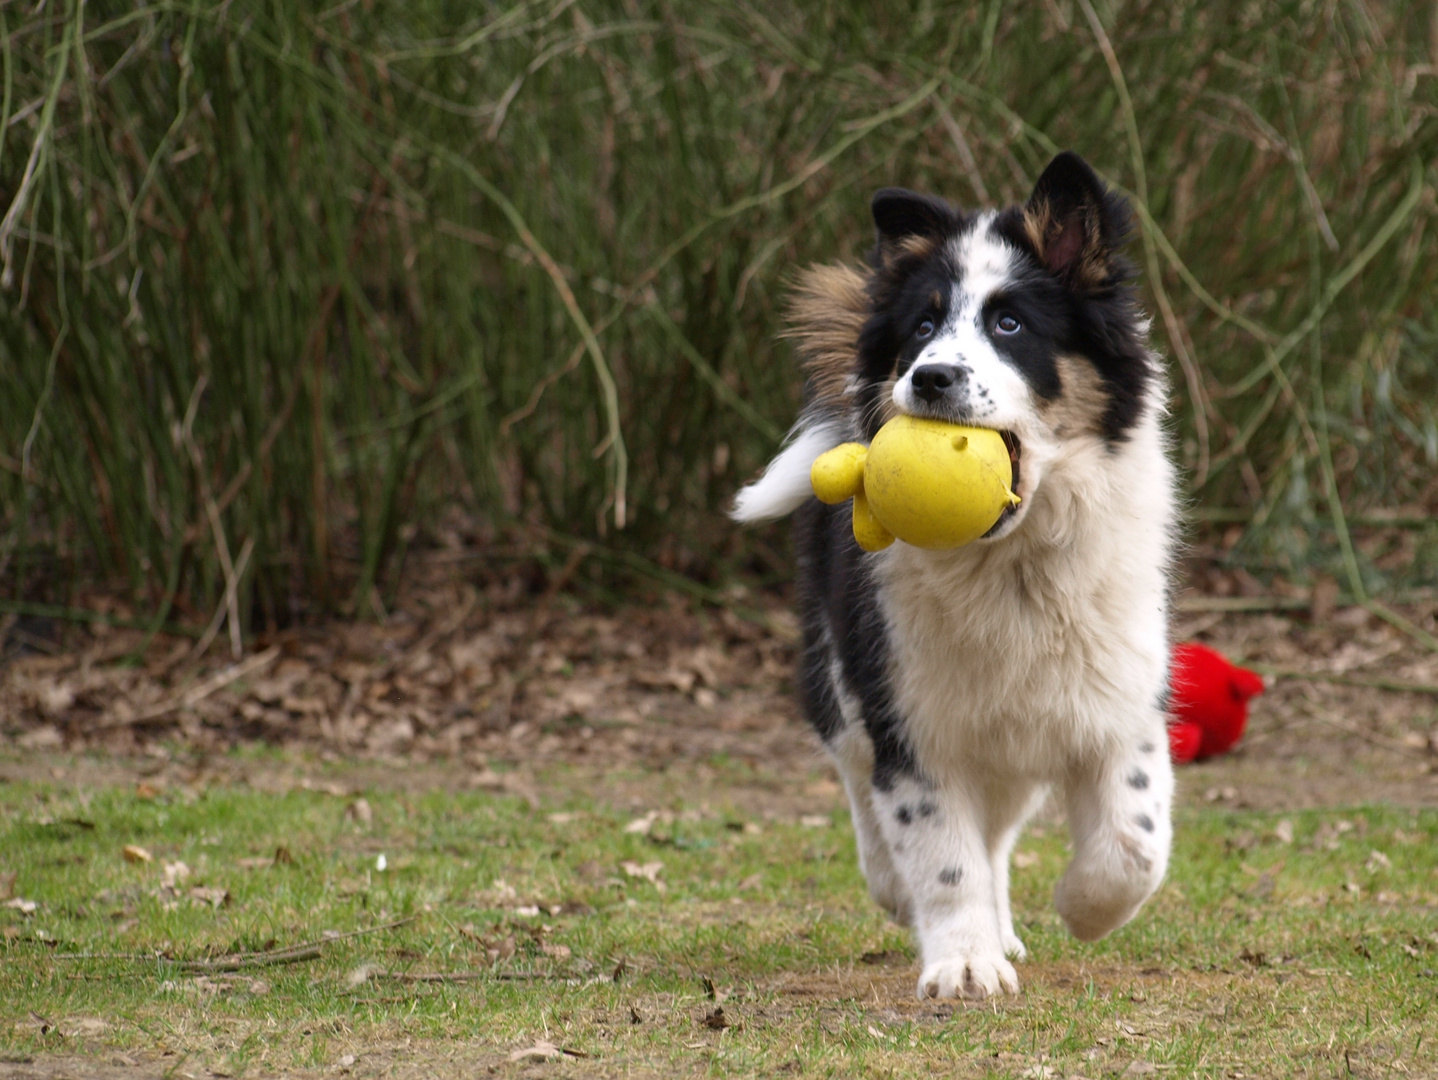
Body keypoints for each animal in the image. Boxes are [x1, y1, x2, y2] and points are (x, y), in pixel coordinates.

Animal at [736, 148, 1173, 1000]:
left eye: (1010, 324)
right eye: (923, 327)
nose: (930, 377)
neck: (1013, 563)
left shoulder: (1117, 696)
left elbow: (1134, 839)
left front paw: (1082, 909)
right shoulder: (911, 717)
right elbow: (940, 853)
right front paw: (964, 964)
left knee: (998, 835)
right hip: (841, 668)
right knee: (863, 779)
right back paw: (904, 893)